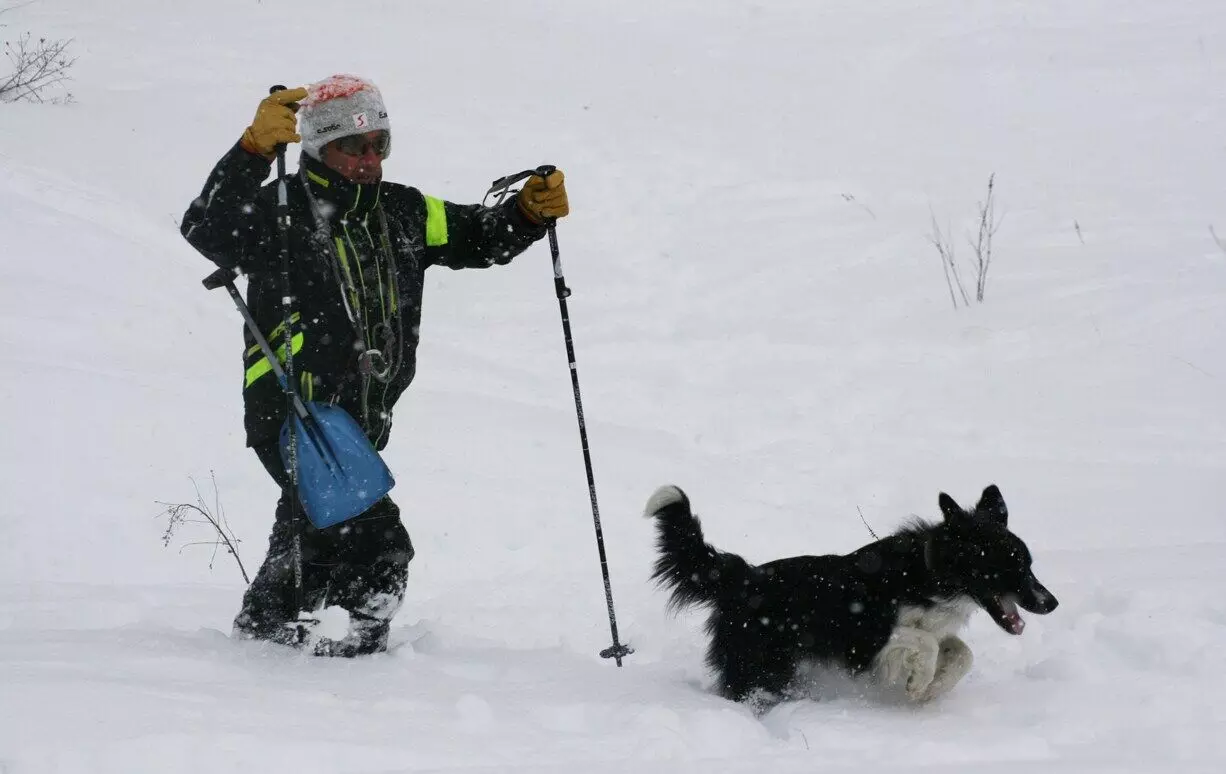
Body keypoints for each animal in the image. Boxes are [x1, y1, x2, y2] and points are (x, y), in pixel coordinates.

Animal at [647, 488, 1059, 706]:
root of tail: (744, 577)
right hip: (762, 664)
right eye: (1011, 567)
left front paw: (934, 688)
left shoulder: (934, 627)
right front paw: (918, 683)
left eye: (1029, 564)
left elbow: (960, 652)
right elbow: (924, 642)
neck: (929, 573)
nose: (1051, 603)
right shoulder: (864, 637)